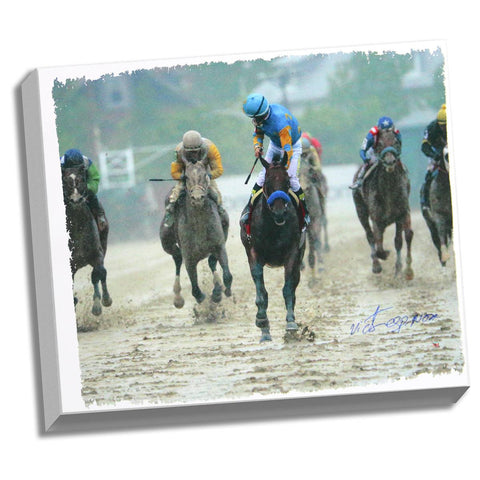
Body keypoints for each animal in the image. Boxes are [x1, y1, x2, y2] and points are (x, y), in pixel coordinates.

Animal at [60, 164, 111, 316]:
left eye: (82, 179)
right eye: (65, 181)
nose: (76, 200)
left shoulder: (97, 254)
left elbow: (97, 274)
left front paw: (98, 305)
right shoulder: (71, 263)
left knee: (101, 273)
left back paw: (105, 299)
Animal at [160, 157, 233, 308]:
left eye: (205, 175)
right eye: (186, 177)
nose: (198, 198)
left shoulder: (219, 245)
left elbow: (227, 274)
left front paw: (220, 292)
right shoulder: (189, 256)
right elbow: (195, 288)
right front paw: (203, 299)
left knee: (211, 262)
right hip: (167, 242)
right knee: (177, 258)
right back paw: (178, 297)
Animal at [239, 154, 304, 342]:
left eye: (287, 182)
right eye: (267, 182)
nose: (279, 212)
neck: (273, 227)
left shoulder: (292, 252)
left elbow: (288, 289)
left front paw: (291, 324)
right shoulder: (253, 252)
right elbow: (261, 289)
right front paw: (262, 320)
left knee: (294, 285)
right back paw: (265, 332)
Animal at [350, 129, 414, 280]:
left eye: (396, 142)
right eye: (379, 144)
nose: (390, 161)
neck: (389, 190)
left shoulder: (402, 213)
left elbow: (403, 238)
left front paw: (405, 271)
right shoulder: (376, 218)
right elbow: (378, 243)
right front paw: (384, 257)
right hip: (360, 210)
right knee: (370, 235)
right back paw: (376, 266)